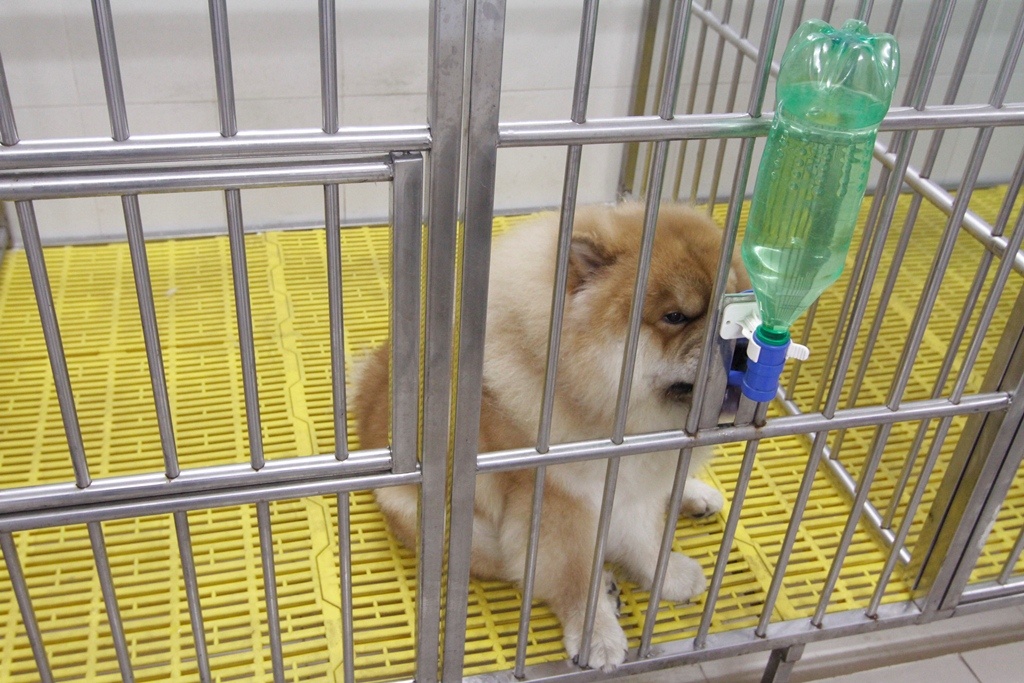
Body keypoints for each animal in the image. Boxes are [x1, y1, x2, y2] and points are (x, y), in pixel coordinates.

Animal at [354, 203, 749, 671]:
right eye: (675, 317)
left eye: (742, 309)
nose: (742, 345)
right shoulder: (559, 501)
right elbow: (573, 575)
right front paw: (597, 635)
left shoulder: (635, 480)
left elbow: (646, 538)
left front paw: (666, 574)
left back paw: (695, 495)